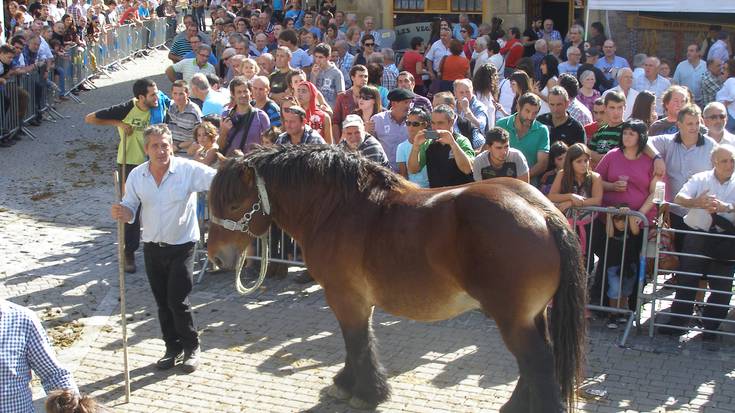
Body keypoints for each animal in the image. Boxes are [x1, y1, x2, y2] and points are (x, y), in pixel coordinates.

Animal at [210, 145, 588, 412]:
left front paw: (363, 392)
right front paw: (353, 385)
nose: (216, 255)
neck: (336, 209)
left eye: (234, 205)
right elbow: (361, 340)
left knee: (537, 363)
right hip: (530, 316)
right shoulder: (359, 300)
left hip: (512, 319)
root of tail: (544, 213)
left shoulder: (344, 296)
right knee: (534, 364)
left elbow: (356, 342)